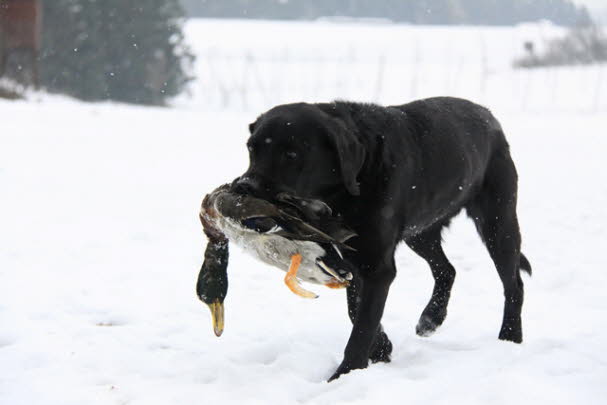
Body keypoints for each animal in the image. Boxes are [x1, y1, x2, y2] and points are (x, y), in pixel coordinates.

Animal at [233, 97, 532, 378]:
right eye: (251, 148)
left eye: (292, 154)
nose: (243, 188)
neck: (348, 189)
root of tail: (488, 115)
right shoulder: (351, 260)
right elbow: (355, 310)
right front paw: (382, 348)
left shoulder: (377, 266)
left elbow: (363, 323)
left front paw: (345, 373)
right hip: (420, 231)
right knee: (447, 269)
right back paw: (431, 318)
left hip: (498, 223)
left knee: (513, 283)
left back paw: (510, 336)